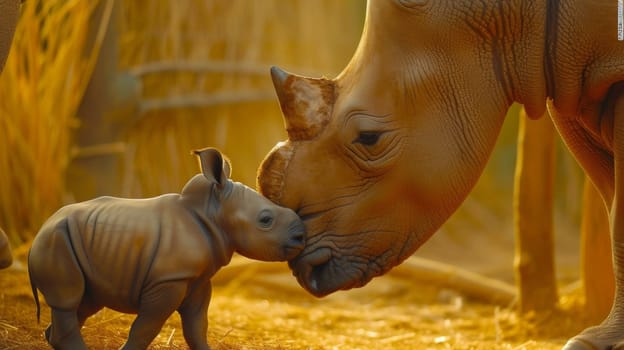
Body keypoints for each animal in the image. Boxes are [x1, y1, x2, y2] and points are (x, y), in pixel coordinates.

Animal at [29, 148, 308, 350]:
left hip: (74, 242)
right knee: (68, 300)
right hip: (56, 241)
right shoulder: (168, 280)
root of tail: (36, 237)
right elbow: (147, 326)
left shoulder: (197, 279)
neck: (212, 211)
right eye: (265, 220)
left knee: (85, 301)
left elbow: (197, 326)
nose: (301, 236)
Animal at [258, 0, 624, 350]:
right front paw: (597, 340)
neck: (511, 14)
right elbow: (610, 202)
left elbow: (618, 220)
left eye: (369, 138)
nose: (305, 268)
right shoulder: (571, 82)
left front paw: (598, 341)